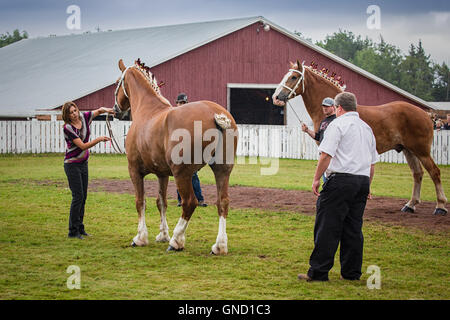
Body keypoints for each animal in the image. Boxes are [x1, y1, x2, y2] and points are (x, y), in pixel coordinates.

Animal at [113, 58, 239, 254]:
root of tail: (215, 114)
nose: (116, 110)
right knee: (222, 202)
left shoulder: (134, 170)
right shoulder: (162, 174)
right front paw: (162, 234)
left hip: (182, 174)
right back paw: (219, 245)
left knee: (190, 202)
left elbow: (140, 202)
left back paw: (176, 240)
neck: (147, 109)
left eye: (118, 82)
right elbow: (161, 202)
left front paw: (140, 238)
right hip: (222, 170)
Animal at [274, 60, 446, 215]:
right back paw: (410, 205)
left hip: (421, 151)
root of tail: (426, 114)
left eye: (294, 77)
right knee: (418, 174)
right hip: (408, 150)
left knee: (434, 172)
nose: (276, 97)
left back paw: (440, 206)